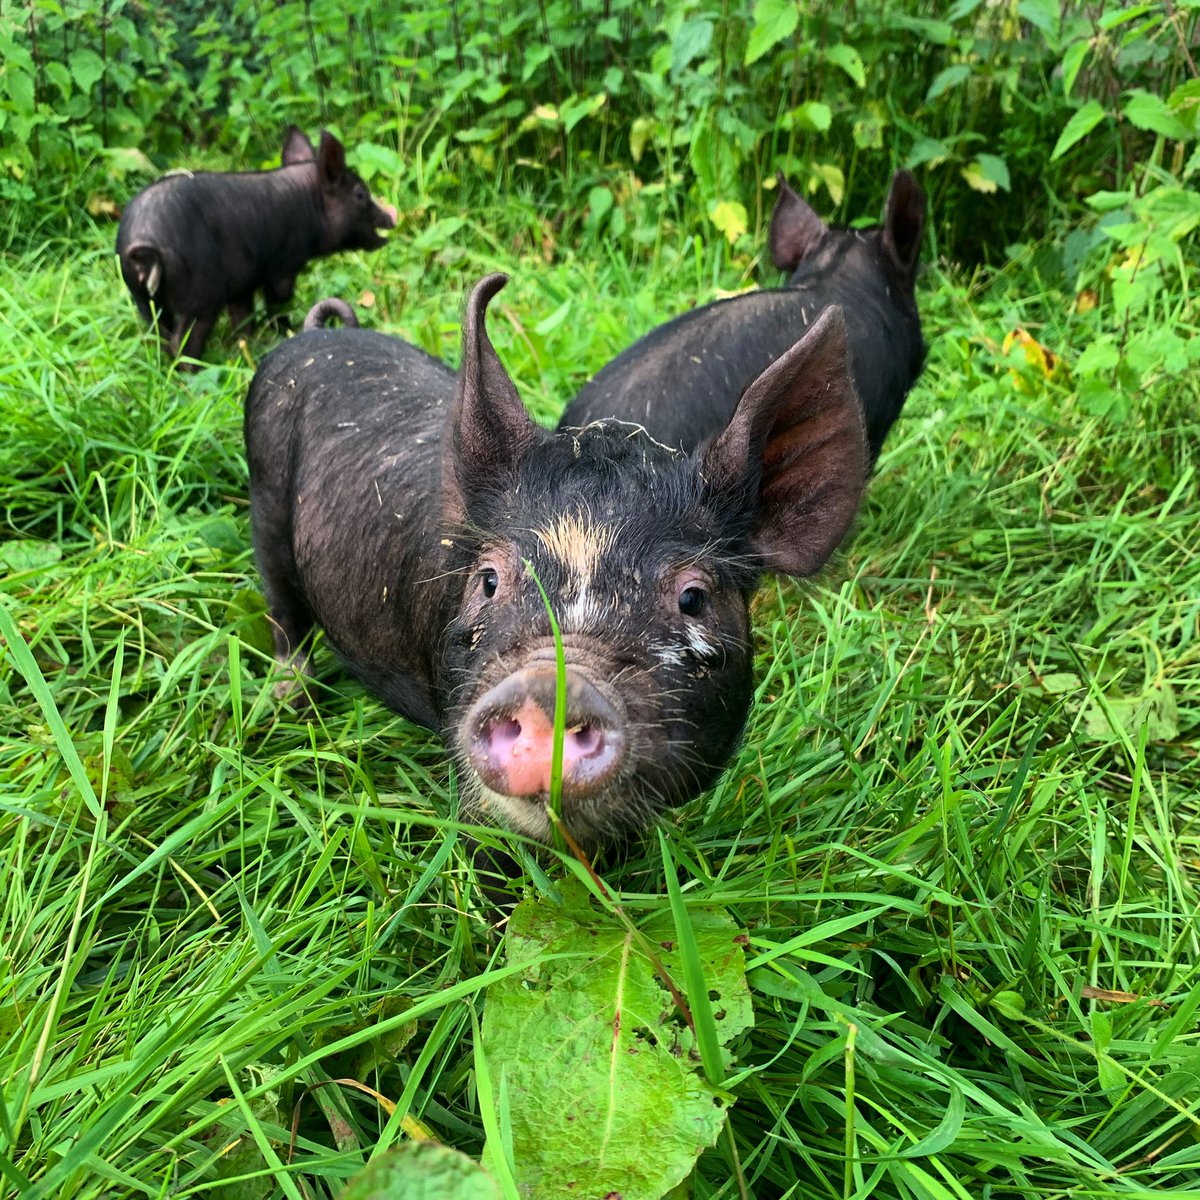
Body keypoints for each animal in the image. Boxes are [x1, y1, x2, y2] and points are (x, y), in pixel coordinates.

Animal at [116, 127, 394, 363]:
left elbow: (243, 317)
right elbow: (277, 303)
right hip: (200, 296)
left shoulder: (242, 284)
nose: (391, 218)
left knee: (160, 335)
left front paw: (247, 345)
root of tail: (142, 245)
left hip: (143, 299)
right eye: (361, 194)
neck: (308, 204)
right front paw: (286, 331)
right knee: (183, 344)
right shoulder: (284, 266)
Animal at [244, 274, 866, 852]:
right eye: (488, 580)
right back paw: (287, 700)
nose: (549, 687)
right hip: (264, 499)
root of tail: (313, 336)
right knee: (281, 607)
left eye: (693, 597)